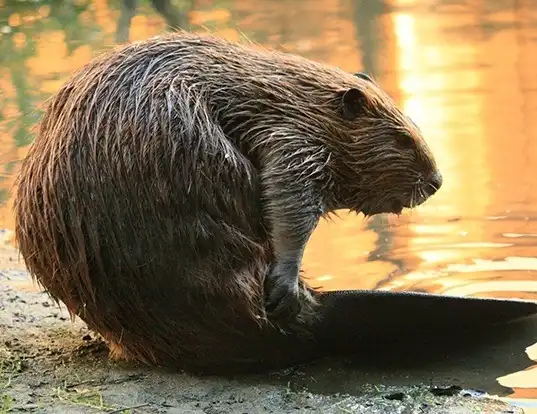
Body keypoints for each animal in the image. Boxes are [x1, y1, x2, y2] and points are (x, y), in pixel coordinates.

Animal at [14, 31, 444, 376]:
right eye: (403, 139)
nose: (437, 182)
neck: (296, 97)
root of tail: (320, 318)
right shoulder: (291, 137)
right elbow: (290, 199)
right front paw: (283, 285)